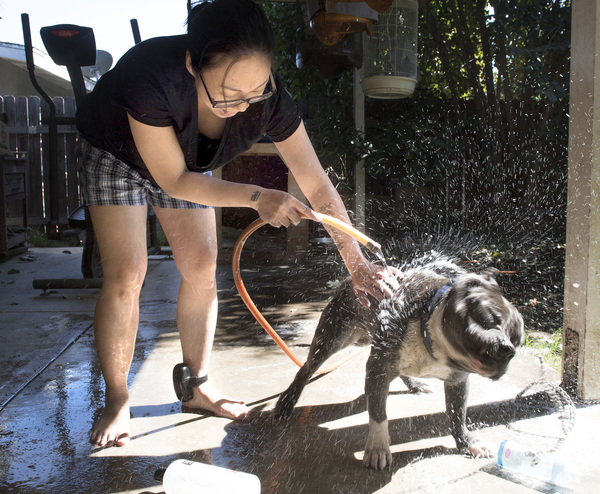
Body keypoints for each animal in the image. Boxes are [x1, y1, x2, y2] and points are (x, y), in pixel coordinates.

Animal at [274, 255, 525, 470]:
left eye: (517, 340)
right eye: (488, 319)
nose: (506, 350)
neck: (427, 329)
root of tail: (350, 278)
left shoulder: (457, 381)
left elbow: (458, 415)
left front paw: (467, 442)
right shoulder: (378, 369)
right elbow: (378, 414)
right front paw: (377, 448)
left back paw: (415, 384)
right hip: (332, 338)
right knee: (306, 369)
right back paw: (287, 401)